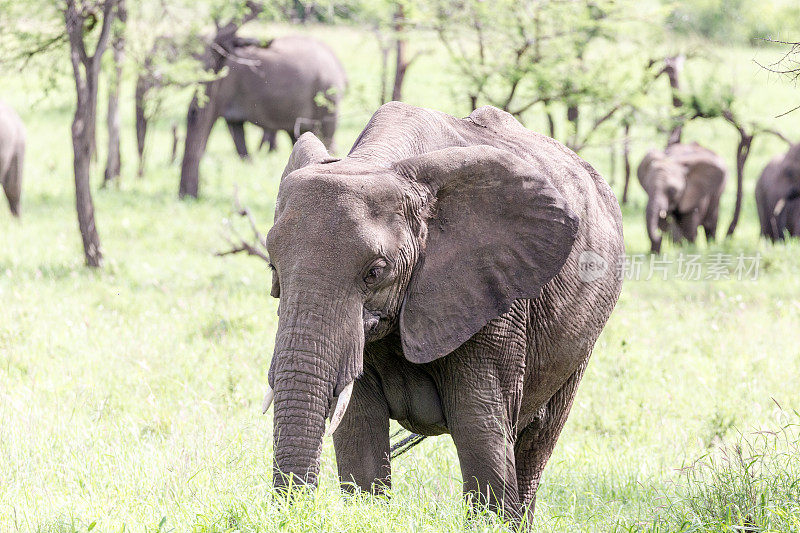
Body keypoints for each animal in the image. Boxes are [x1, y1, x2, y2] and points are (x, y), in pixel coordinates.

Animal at [262, 101, 624, 524]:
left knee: (538, 440)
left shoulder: (493, 295)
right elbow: (357, 424)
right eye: (273, 267)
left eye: (375, 272)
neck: (382, 164)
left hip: (583, 335)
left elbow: (479, 426)